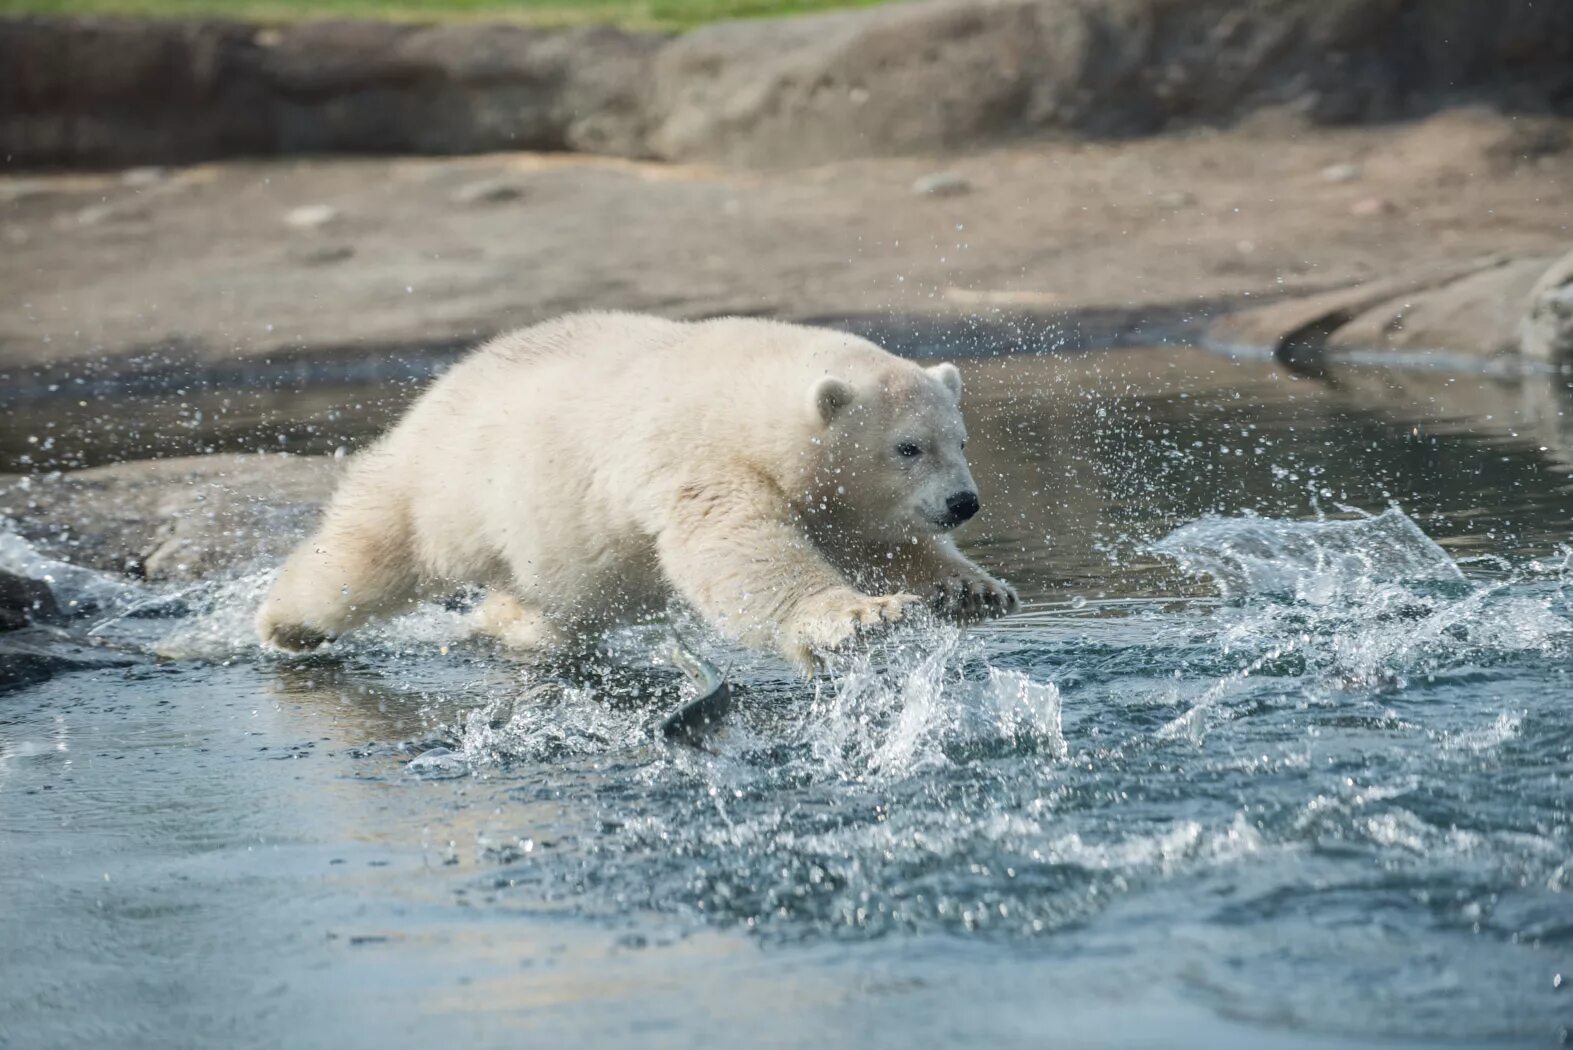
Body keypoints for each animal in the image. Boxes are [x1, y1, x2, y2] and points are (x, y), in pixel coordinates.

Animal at [254, 314, 1019, 672]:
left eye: (960, 440)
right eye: (908, 447)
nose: (963, 503)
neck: (746, 396)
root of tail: (444, 385)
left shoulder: (834, 501)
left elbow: (881, 540)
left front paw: (974, 588)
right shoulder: (694, 462)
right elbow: (737, 552)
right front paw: (860, 617)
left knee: (553, 603)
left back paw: (513, 625)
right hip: (451, 481)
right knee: (373, 549)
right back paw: (287, 623)